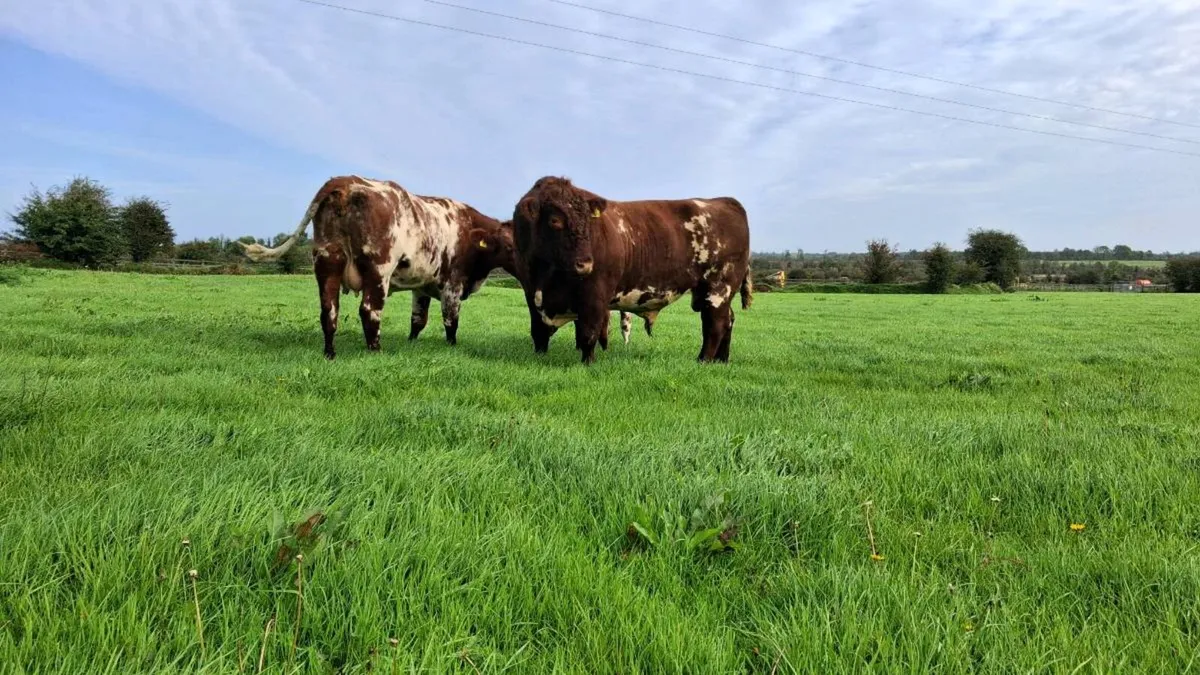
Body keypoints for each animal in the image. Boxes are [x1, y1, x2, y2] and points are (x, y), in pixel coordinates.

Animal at [239, 175, 520, 359]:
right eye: (510, 245)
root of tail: (343, 181)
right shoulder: (453, 283)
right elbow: (451, 320)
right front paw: (452, 347)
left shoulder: (421, 285)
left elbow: (418, 320)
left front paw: (411, 343)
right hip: (379, 268)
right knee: (369, 310)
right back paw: (376, 350)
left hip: (327, 260)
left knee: (329, 310)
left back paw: (330, 353)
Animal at [511, 176, 752, 365]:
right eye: (555, 221)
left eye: (588, 221)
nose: (585, 264)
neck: (546, 274)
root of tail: (725, 201)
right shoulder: (531, 292)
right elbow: (539, 333)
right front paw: (539, 358)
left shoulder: (594, 295)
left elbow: (588, 333)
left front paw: (587, 363)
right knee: (728, 319)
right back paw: (722, 360)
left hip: (719, 286)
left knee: (715, 324)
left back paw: (703, 360)